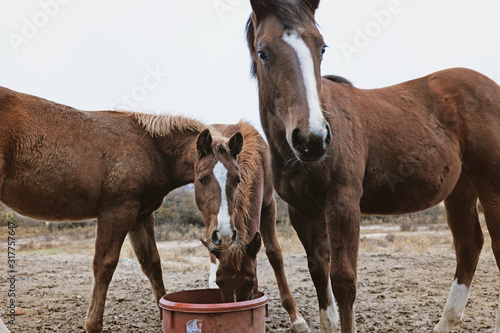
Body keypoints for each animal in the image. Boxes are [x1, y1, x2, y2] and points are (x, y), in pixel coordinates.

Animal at [248, 0, 500, 332]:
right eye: (263, 52)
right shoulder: (301, 211)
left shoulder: (343, 203)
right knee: (469, 245)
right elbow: (319, 276)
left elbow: (344, 282)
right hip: (460, 189)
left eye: (321, 47)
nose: (313, 138)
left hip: (491, 184)